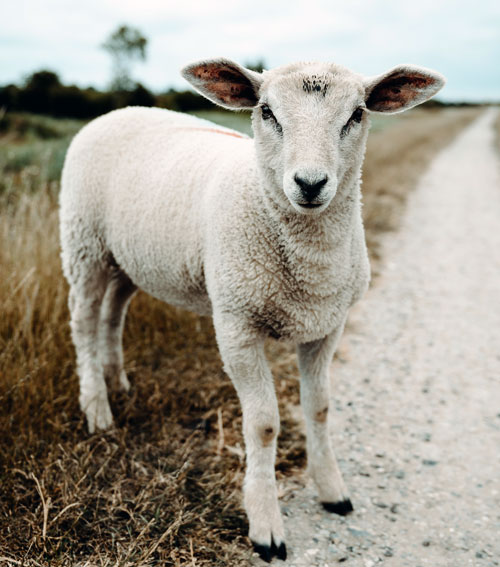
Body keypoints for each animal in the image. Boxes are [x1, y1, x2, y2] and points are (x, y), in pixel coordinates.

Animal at [59, 58, 446, 564]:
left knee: (113, 312)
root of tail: (119, 111)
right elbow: (263, 425)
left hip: (128, 256)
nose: (310, 184)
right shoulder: (236, 326)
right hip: (83, 242)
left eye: (357, 114)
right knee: (84, 321)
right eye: (266, 111)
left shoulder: (327, 325)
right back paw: (97, 407)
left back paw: (117, 381)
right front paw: (266, 526)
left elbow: (319, 408)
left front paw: (332, 491)